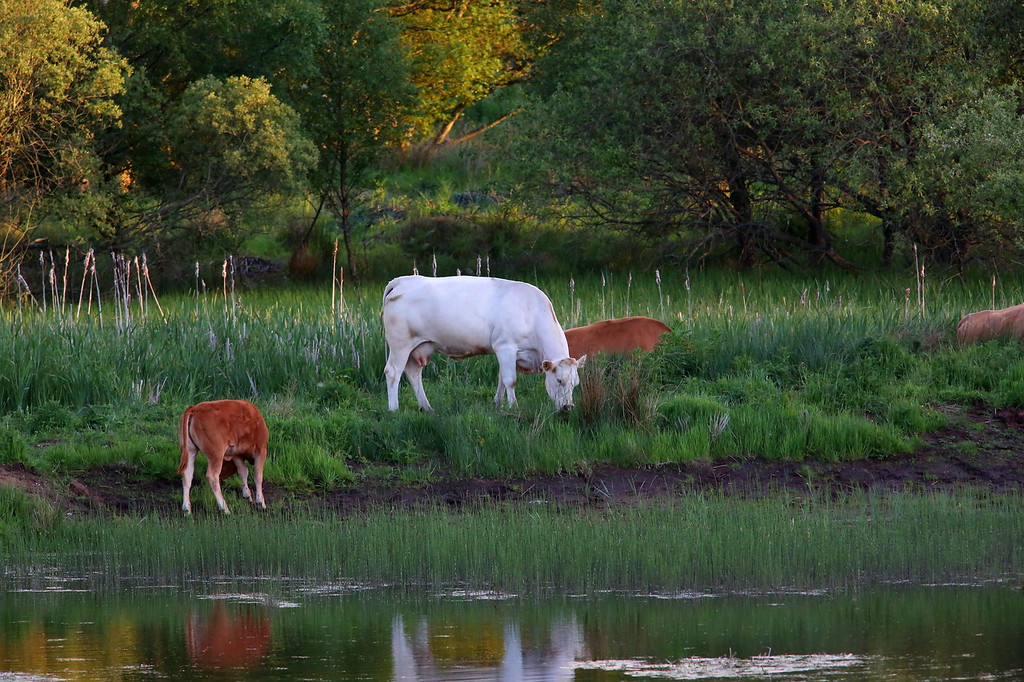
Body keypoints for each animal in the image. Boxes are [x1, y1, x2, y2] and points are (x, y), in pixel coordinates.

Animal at [382, 275, 586, 412]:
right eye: (559, 380)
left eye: (576, 383)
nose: (568, 407)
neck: (532, 313)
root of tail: (402, 280)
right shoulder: (505, 346)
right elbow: (510, 380)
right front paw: (514, 407)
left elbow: (501, 378)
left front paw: (498, 404)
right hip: (400, 344)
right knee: (393, 372)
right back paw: (394, 409)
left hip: (419, 347)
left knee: (413, 373)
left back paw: (427, 407)